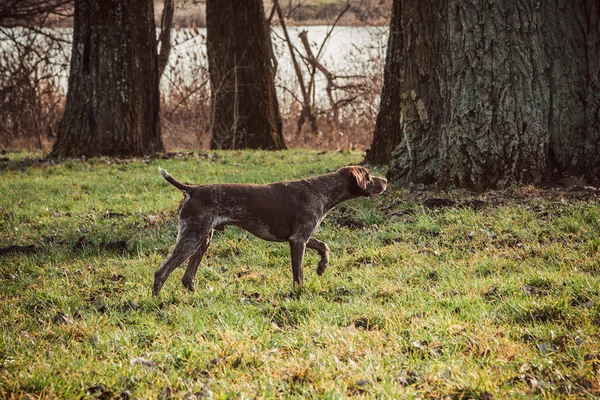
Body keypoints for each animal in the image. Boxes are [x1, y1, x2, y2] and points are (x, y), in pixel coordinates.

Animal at [154, 164, 390, 296]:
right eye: (369, 177)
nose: (386, 180)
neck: (323, 191)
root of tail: (192, 189)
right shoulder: (298, 240)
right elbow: (298, 274)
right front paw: (300, 293)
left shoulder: (301, 237)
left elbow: (325, 246)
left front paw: (322, 267)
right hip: (192, 237)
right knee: (162, 272)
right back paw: (157, 302)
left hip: (203, 239)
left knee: (187, 278)